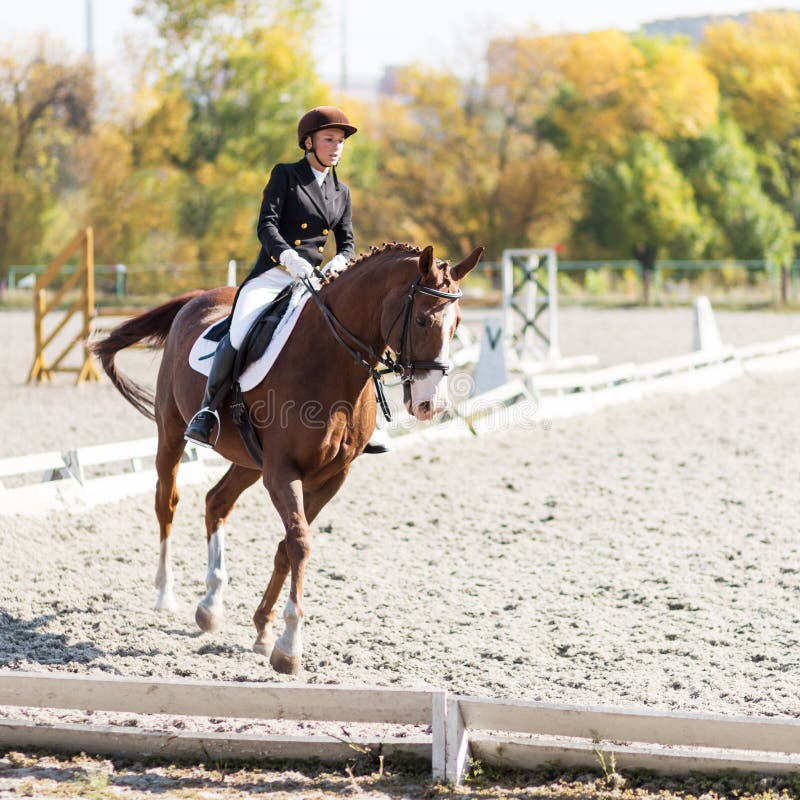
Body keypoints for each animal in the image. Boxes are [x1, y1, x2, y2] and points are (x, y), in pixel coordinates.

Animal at [91, 244, 484, 676]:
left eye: (457, 324)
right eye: (422, 319)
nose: (432, 405)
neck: (331, 363)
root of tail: (199, 296)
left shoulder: (331, 477)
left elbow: (288, 544)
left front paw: (264, 629)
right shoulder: (282, 473)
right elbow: (300, 543)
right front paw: (289, 646)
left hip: (248, 460)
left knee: (216, 502)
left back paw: (210, 605)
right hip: (172, 430)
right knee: (167, 502)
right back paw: (165, 594)